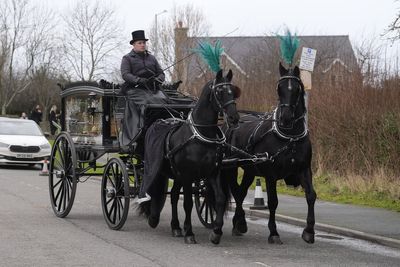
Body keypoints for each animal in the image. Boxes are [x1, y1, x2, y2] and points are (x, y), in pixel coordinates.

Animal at [141, 70, 241, 246]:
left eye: (232, 91)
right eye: (219, 92)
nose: (234, 118)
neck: (201, 136)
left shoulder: (213, 173)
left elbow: (220, 198)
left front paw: (216, 231)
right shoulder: (187, 176)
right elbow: (187, 203)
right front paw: (189, 232)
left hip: (176, 174)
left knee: (174, 195)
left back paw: (175, 227)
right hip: (157, 167)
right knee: (154, 189)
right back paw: (154, 218)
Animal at [225, 63, 316, 245]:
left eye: (297, 88)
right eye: (279, 88)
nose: (286, 118)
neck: (290, 137)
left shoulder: (304, 169)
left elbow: (310, 196)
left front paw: (309, 231)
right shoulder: (270, 174)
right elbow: (273, 201)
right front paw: (273, 232)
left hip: (250, 170)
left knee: (241, 192)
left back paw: (239, 223)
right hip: (231, 166)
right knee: (237, 192)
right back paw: (240, 222)